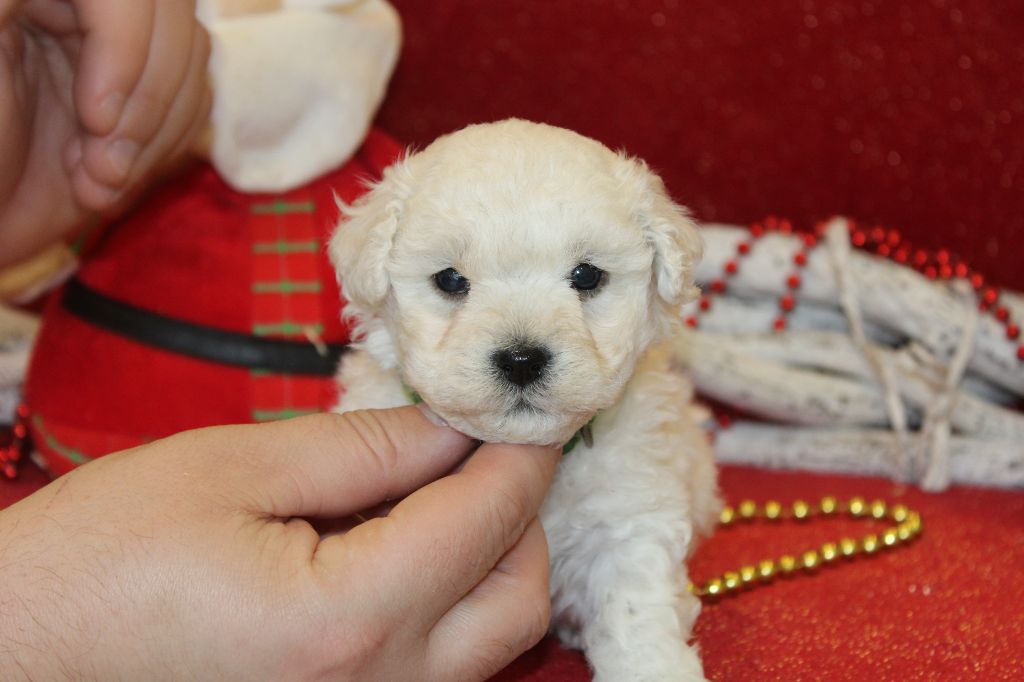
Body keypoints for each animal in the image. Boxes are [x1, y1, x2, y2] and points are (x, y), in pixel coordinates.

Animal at [327, 119, 720, 675]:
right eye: (451, 279)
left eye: (586, 275)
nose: (521, 359)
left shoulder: (630, 520)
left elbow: (636, 611)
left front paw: (654, 670)